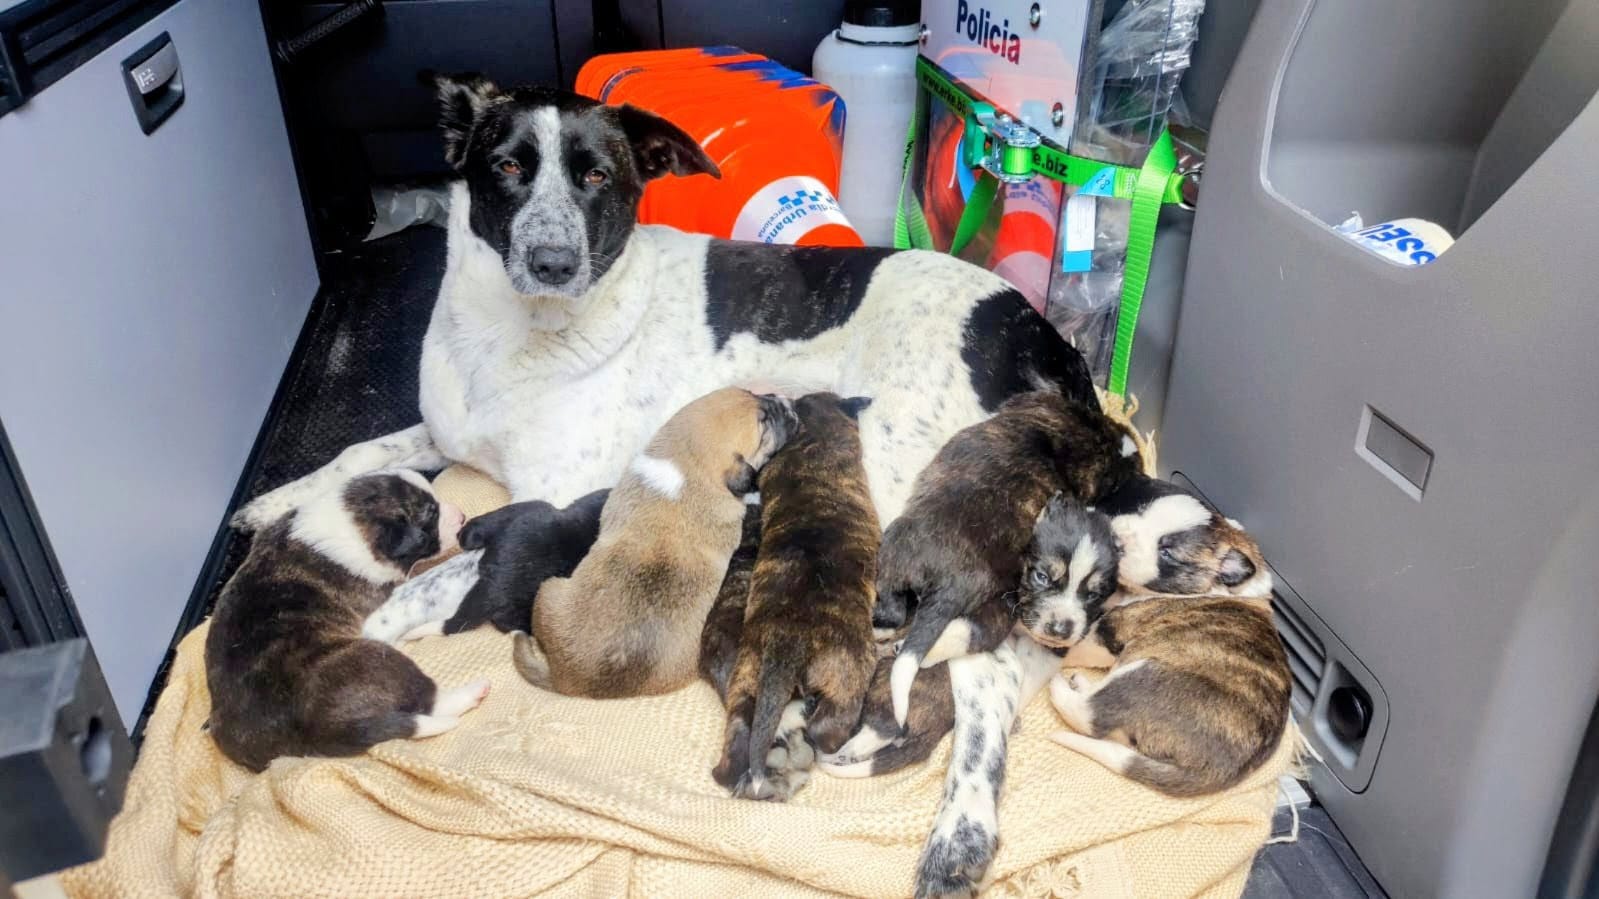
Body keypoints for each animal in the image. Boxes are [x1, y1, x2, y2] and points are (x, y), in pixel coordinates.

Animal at [205, 471, 488, 772]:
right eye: (430, 516)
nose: (462, 517)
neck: (351, 519)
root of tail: (320, 734)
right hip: (379, 658)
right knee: (427, 700)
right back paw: (472, 693)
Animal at [711, 393, 878, 800]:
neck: (813, 441)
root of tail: (785, 650)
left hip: (746, 680)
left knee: (738, 740)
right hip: (849, 672)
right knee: (826, 728)